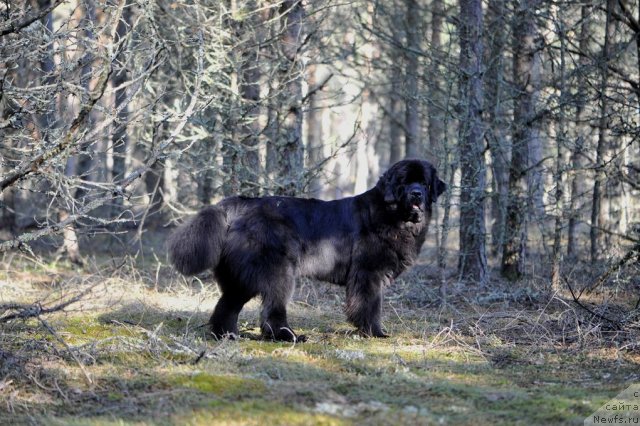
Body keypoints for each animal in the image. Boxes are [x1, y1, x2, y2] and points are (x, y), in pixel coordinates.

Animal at [169, 160, 444, 342]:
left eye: (424, 183)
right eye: (403, 182)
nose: (416, 193)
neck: (395, 217)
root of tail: (236, 204)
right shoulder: (368, 274)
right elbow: (370, 305)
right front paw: (375, 332)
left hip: (240, 276)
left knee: (226, 305)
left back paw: (226, 335)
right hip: (277, 271)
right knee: (272, 308)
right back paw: (287, 335)